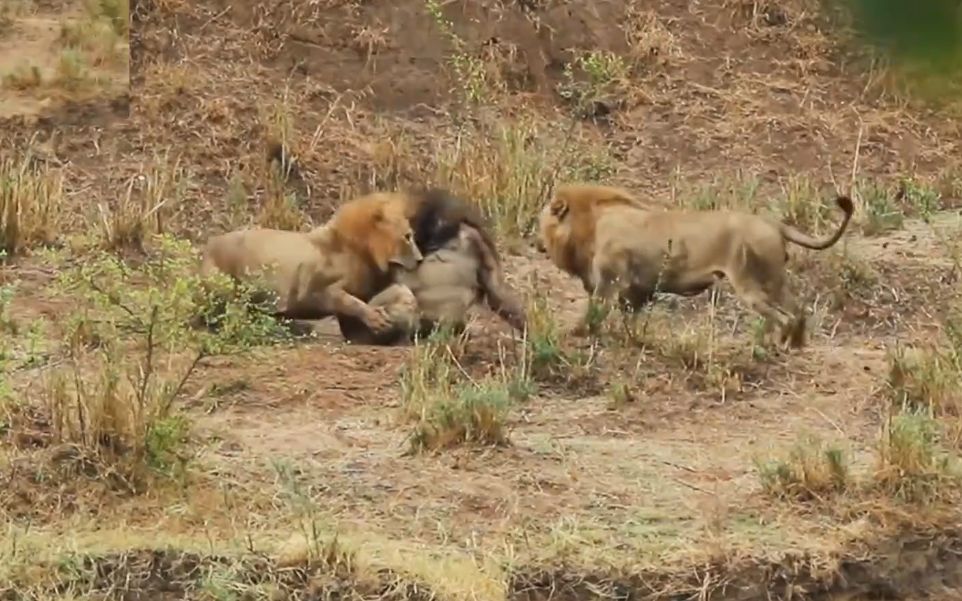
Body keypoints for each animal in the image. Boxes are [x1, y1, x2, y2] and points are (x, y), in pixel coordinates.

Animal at [201, 191, 422, 332]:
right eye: (407, 237)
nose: (420, 259)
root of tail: (207, 245)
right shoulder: (317, 290)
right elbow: (349, 301)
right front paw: (376, 318)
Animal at [536, 182, 852, 346]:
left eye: (544, 219)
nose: (537, 243)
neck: (591, 223)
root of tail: (773, 223)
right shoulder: (637, 289)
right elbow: (631, 320)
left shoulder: (609, 280)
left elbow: (594, 313)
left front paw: (578, 333)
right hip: (774, 281)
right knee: (798, 311)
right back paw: (795, 345)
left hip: (750, 282)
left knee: (784, 317)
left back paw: (774, 346)